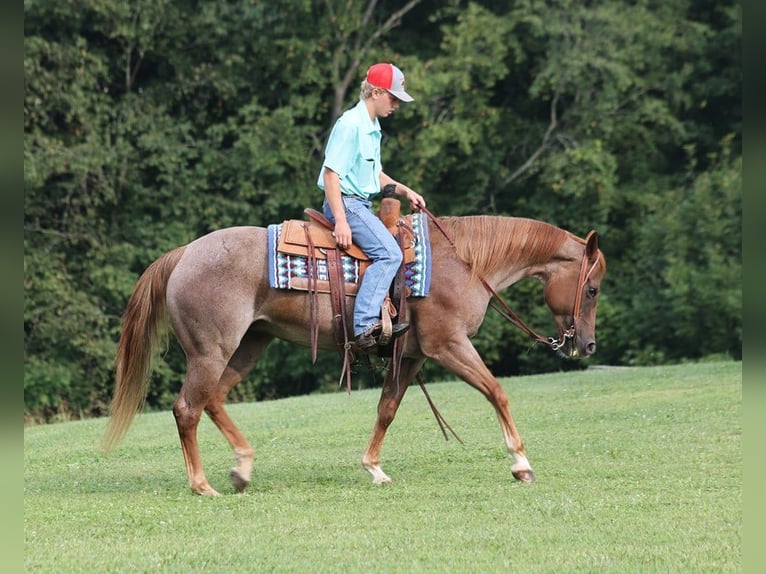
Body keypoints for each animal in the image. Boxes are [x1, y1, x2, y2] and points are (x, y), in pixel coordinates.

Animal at [103, 213, 606, 496]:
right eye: (593, 289)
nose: (586, 344)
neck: (462, 261)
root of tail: (185, 253)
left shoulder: (412, 356)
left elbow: (387, 409)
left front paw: (374, 469)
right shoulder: (449, 345)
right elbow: (497, 392)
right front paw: (521, 464)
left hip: (249, 345)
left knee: (213, 401)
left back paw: (242, 469)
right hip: (211, 351)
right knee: (187, 408)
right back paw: (202, 484)